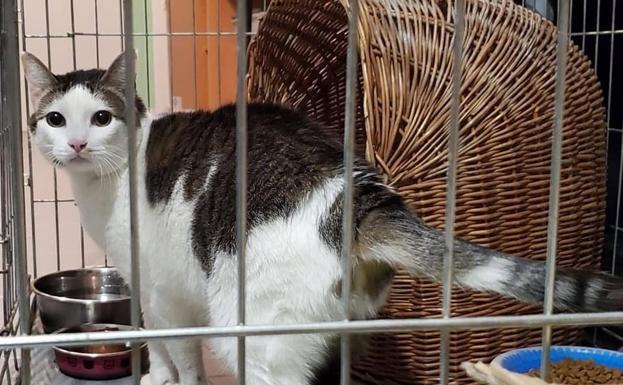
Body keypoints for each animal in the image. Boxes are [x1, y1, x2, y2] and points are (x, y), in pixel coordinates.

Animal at [22, 48, 623, 384]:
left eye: (102, 118)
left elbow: (178, 351)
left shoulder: (165, 291)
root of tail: (356, 192)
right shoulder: (148, 288)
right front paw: (157, 376)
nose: (76, 144)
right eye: (54, 119)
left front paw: (167, 379)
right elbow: (157, 343)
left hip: (252, 330)